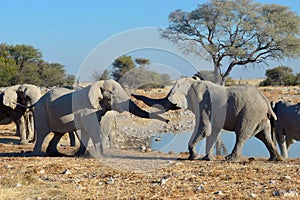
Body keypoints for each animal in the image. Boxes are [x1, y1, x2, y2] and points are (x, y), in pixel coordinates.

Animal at [32, 78, 169, 156]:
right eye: (113, 95)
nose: (168, 120)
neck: (97, 85)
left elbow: (92, 130)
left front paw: (82, 154)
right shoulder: (87, 108)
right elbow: (92, 128)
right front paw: (99, 154)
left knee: (58, 133)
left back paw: (54, 153)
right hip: (41, 110)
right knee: (43, 132)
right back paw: (39, 153)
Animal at [132, 77, 282, 162]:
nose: (133, 94)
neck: (195, 82)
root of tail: (265, 99)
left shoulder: (204, 105)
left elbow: (205, 129)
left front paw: (193, 157)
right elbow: (213, 132)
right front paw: (207, 159)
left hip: (250, 113)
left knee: (242, 134)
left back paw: (230, 159)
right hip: (259, 116)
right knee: (264, 136)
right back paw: (275, 159)